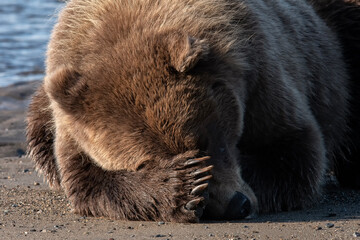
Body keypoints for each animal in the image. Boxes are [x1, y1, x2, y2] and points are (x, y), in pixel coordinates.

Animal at [27, 0, 352, 222]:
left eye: (207, 141)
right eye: (145, 162)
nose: (236, 205)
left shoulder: (261, 74)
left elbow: (292, 151)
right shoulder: (72, 124)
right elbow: (89, 183)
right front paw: (184, 186)